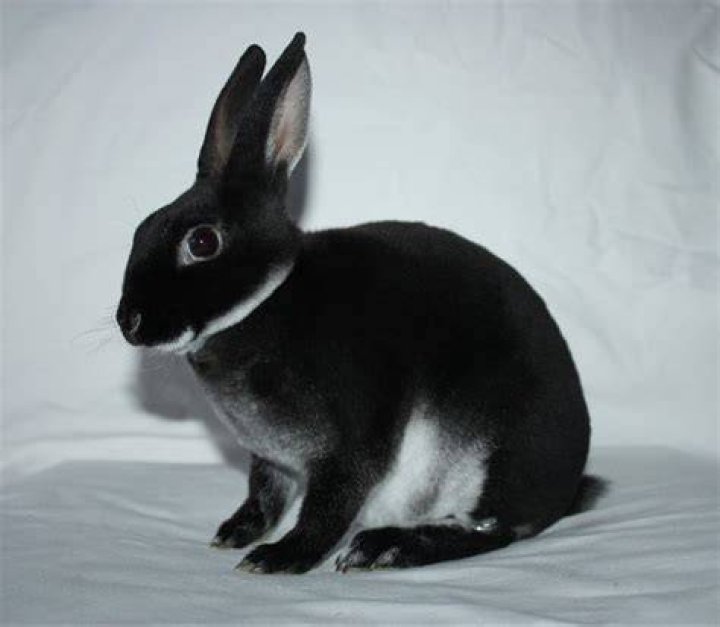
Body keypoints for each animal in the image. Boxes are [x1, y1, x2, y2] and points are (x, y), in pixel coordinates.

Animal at [117, 32, 592, 574]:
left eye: (201, 242)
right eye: (143, 228)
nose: (129, 322)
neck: (267, 301)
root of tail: (566, 481)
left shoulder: (352, 445)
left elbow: (328, 508)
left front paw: (278, 557)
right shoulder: (273, 461)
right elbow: (264, 495)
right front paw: (235, 534)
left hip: (499, 454)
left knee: (491, 530)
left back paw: (386, 547)